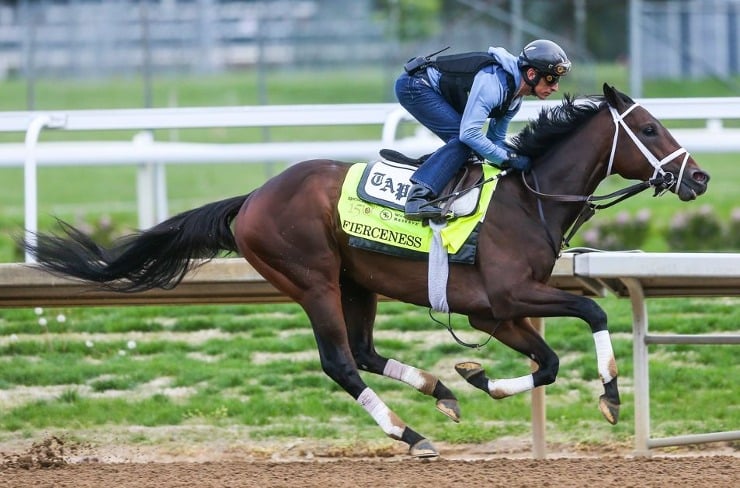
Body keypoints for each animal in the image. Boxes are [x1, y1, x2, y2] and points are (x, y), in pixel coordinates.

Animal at [24, 85, 712, 458]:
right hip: (312, 281)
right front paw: (611, 396)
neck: (528, 198)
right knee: (340, 361)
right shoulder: (511, 294)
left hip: (358, 284)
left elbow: (546, 363)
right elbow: (591, 310)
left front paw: (478, 376)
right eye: (649, 127)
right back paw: (409, 434)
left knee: (363, 350)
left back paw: (440, 392)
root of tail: (251, 199)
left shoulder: (492, 311)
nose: (701, 177)